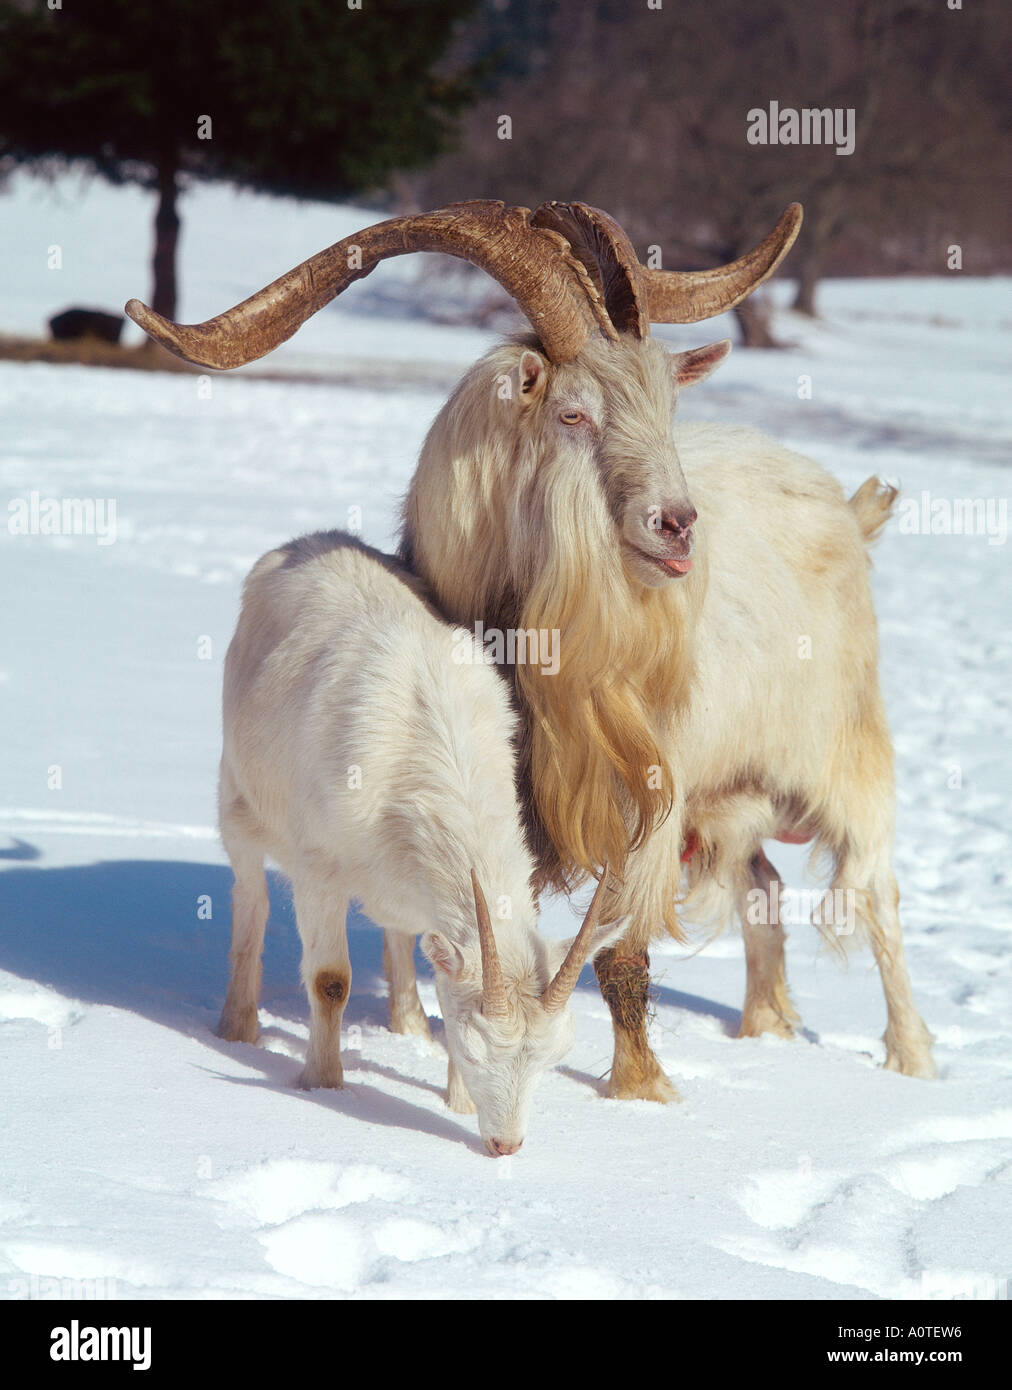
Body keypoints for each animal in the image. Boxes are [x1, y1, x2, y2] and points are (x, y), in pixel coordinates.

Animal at [216, 531, 624, 1154]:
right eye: (477, 1051)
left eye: (550, 1059)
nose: (506, 1146)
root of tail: (309, 542)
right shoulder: (319, 869)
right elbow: (330, 980)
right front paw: (324, 1085)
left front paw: (456, 1103)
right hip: (236, 792)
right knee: (250, 895)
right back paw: (237, 1027)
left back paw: (407, 1027)